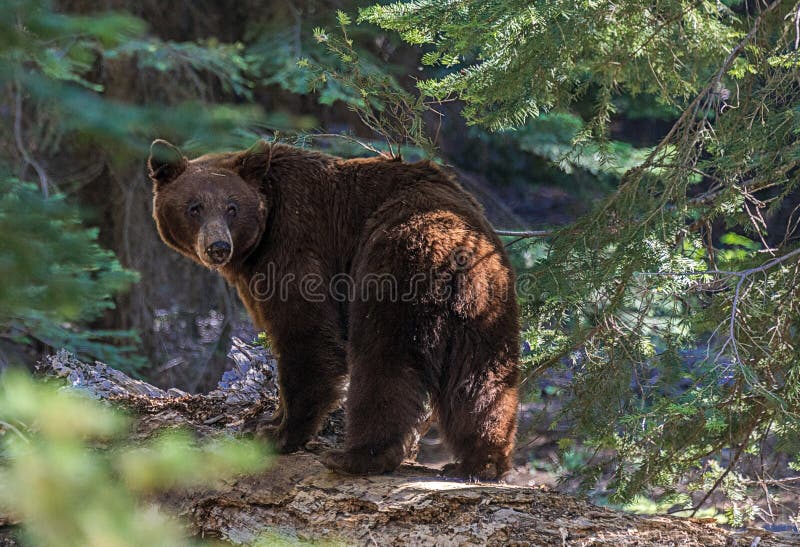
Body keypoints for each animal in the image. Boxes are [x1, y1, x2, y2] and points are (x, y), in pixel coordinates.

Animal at [147, 139, 520, 479]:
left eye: (232, 207)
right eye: (194, 207)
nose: (218, 247)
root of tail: (456, 250)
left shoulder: (296, 243)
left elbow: (306, 335)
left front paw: (279, 434)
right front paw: (265, 421)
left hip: (393, 270)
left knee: (384, 363)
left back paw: (357, 456)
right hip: (487, 305)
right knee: (482, 378)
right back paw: (480, 462)